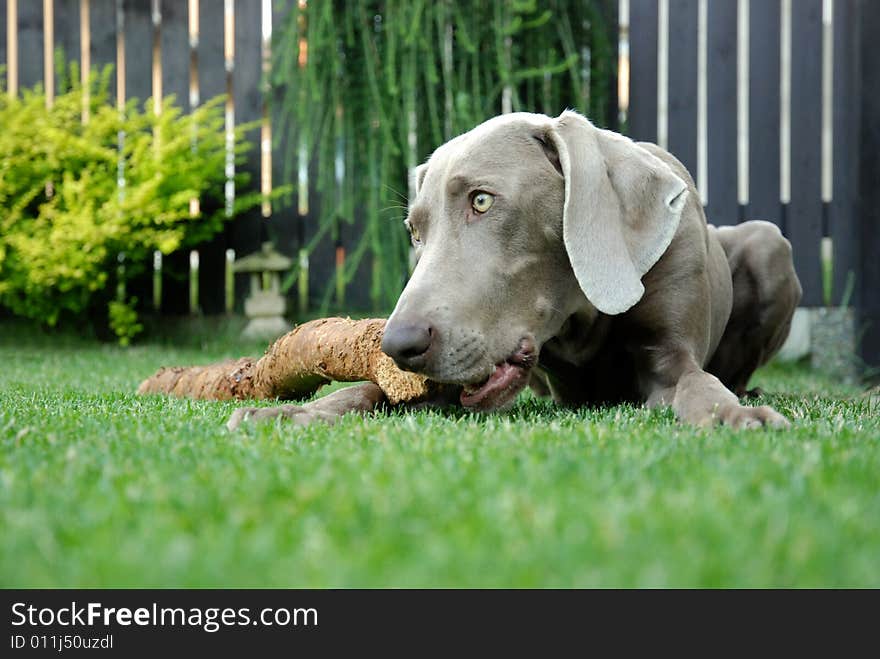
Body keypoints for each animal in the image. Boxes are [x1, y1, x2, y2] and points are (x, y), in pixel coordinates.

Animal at [229, 112, 804, 434]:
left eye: (482, 200)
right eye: (416, 231)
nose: (397, 344)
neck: (581, 317)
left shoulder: (669, 357)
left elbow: (697, 384)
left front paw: (733, 415)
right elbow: (371, 392)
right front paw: (290, 413)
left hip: (769, 243)